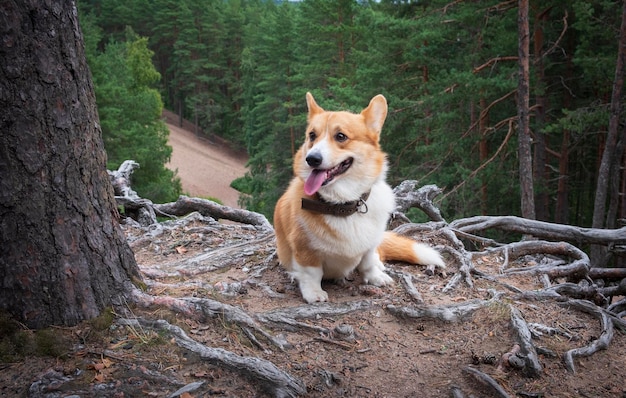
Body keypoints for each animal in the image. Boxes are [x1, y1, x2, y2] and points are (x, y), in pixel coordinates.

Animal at [272, 93, 444, 304]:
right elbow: (312, 273)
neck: (343, 204)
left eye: (340, 136)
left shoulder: (370, 244)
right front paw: (313, 292)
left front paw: (375, 277)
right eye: (312, 136)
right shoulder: (304, 249)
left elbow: (367, 262)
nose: (311, 159)